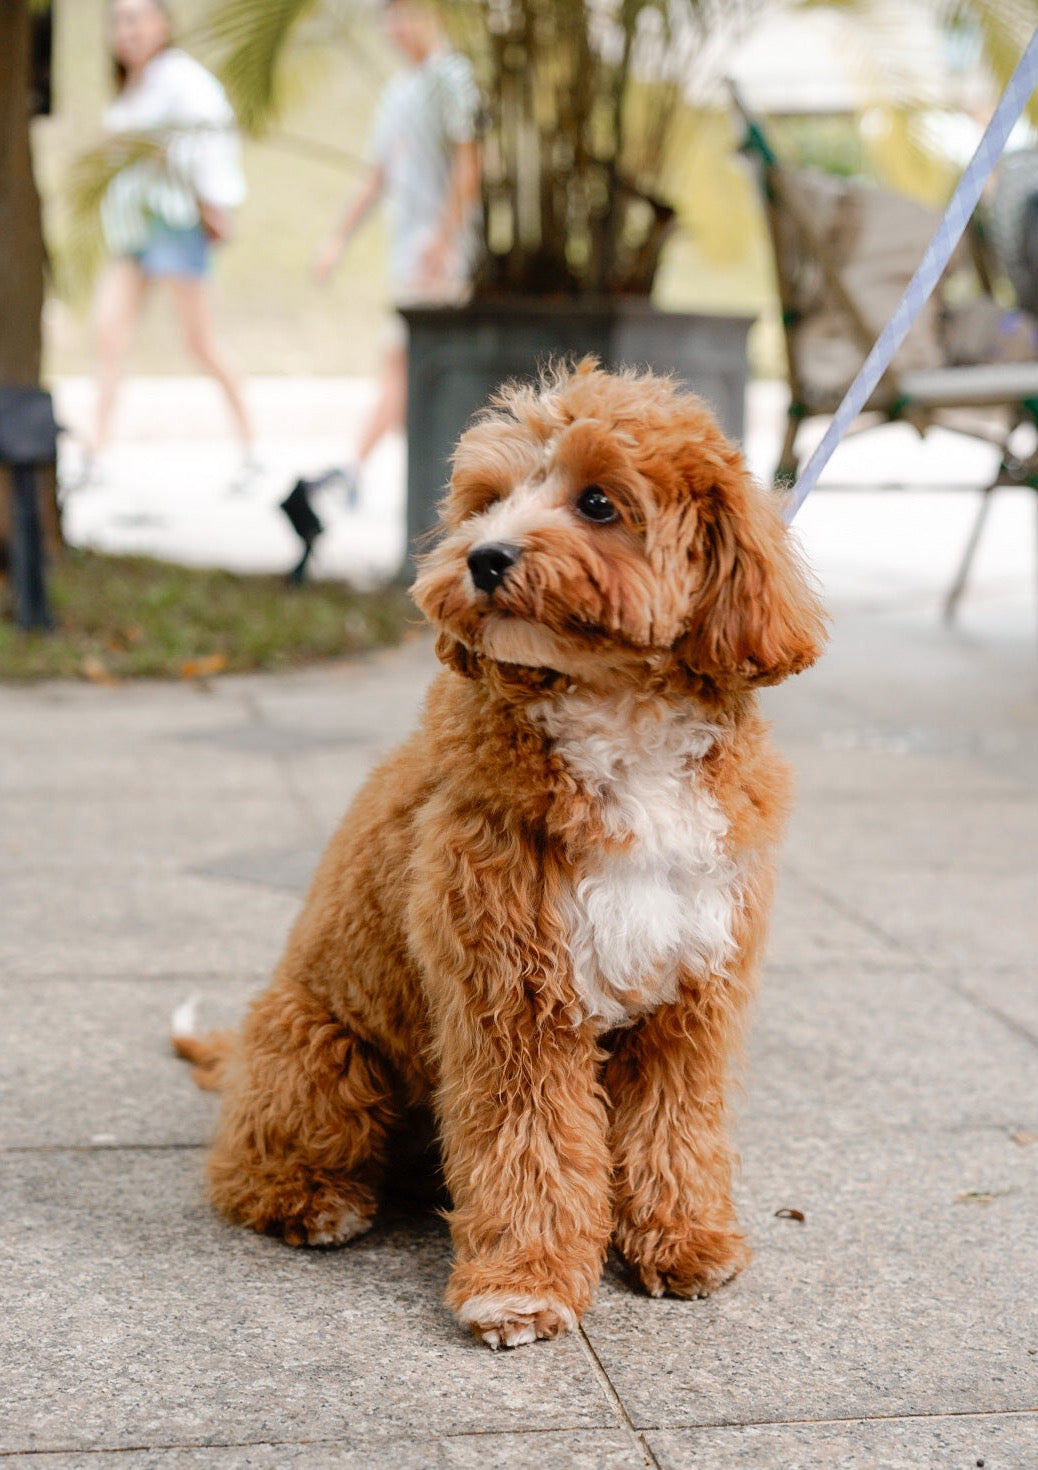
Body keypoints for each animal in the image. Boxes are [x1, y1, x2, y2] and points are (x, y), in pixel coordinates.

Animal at [175, 361, 823, 1346]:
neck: (620, 723)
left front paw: (682, 1240)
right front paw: (523, 1282)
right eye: (484, 503)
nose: (483, 558)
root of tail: (242, 1051)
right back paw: (316, 1201)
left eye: (597, 501)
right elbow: (532, 1145)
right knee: (245, 1169)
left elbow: (677, 1125)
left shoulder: (690, 999)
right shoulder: (513, 998)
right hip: (322, 1054)